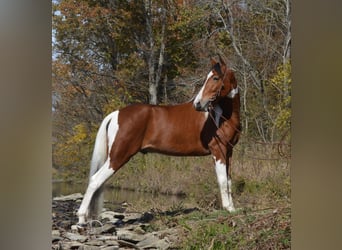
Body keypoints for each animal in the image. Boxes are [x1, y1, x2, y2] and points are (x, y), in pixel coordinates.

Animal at [76, 55, 242, 226]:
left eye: (215, 78)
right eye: (208, 78)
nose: (198, 104)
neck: (222, 117)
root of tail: (117, 113)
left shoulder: (228, 152)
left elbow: (229, 181)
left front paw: (233, 209)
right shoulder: (218, 150)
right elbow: (222, 181)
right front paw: (227, 209)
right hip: (117, 157)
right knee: (95, 180)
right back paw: (81, 219)